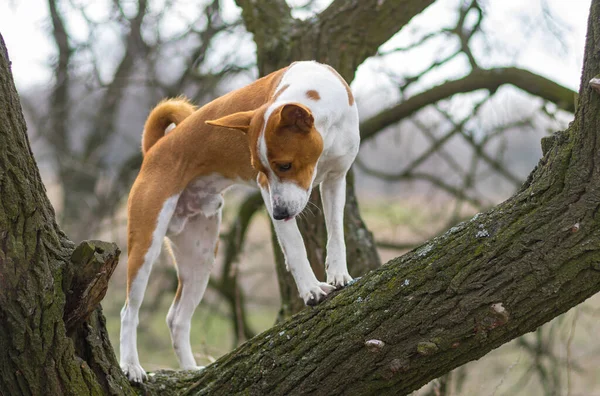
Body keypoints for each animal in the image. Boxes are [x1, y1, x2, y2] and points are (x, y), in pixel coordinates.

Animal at [119, 61, 358, 380]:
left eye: (285, 165)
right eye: (260, 169)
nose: (279, 214)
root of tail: (155, 148)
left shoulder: (335, 180)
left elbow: (336, 235)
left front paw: (339, 275)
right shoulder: (268, 192)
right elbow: (296, 247)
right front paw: (311, 290)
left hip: (201, 257)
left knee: (176, 318)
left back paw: (192, 371)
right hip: (146, 245)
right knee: (129, 312)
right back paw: (131, 366)